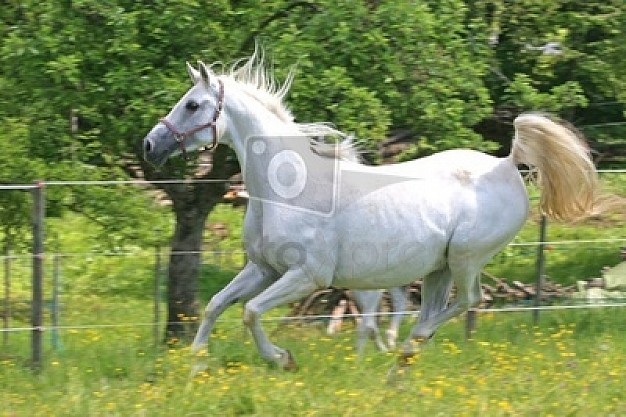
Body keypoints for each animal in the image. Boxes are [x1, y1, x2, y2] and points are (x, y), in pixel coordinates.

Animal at [144, 51, 596, 368]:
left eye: (192, 105)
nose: (149, 145)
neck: (289, 190)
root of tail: (506, 163)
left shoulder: (306, 276)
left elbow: (251, 313)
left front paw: (282, 359)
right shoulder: (264, 268)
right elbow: (216, 305)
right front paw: (195, 364)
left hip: (466, 260)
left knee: (469, 299)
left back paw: (411, 343)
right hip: (438, 268)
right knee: (432, 307)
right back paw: (407, 350)